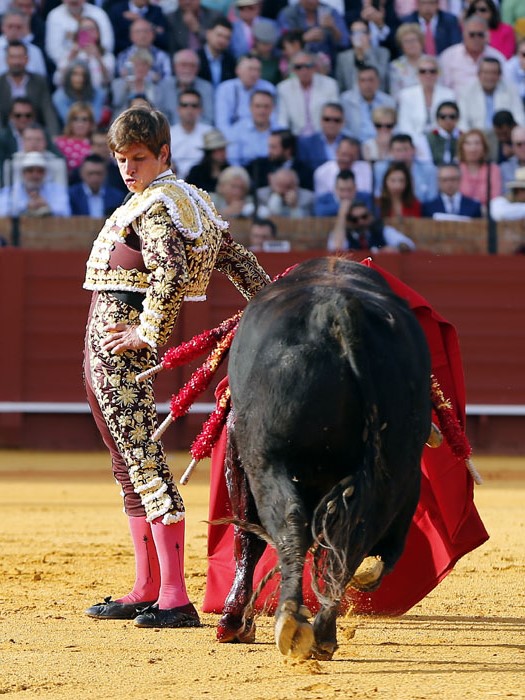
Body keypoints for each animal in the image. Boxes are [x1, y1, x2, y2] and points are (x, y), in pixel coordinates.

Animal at [216, 257, 432, 660]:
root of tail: (336, 309)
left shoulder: (240, 446)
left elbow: (247, 535)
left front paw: (234, 622)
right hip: (395, 462)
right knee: (356, 537)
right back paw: (323, 632)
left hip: (267, 458)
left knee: (289, 523)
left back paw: (291, 623)